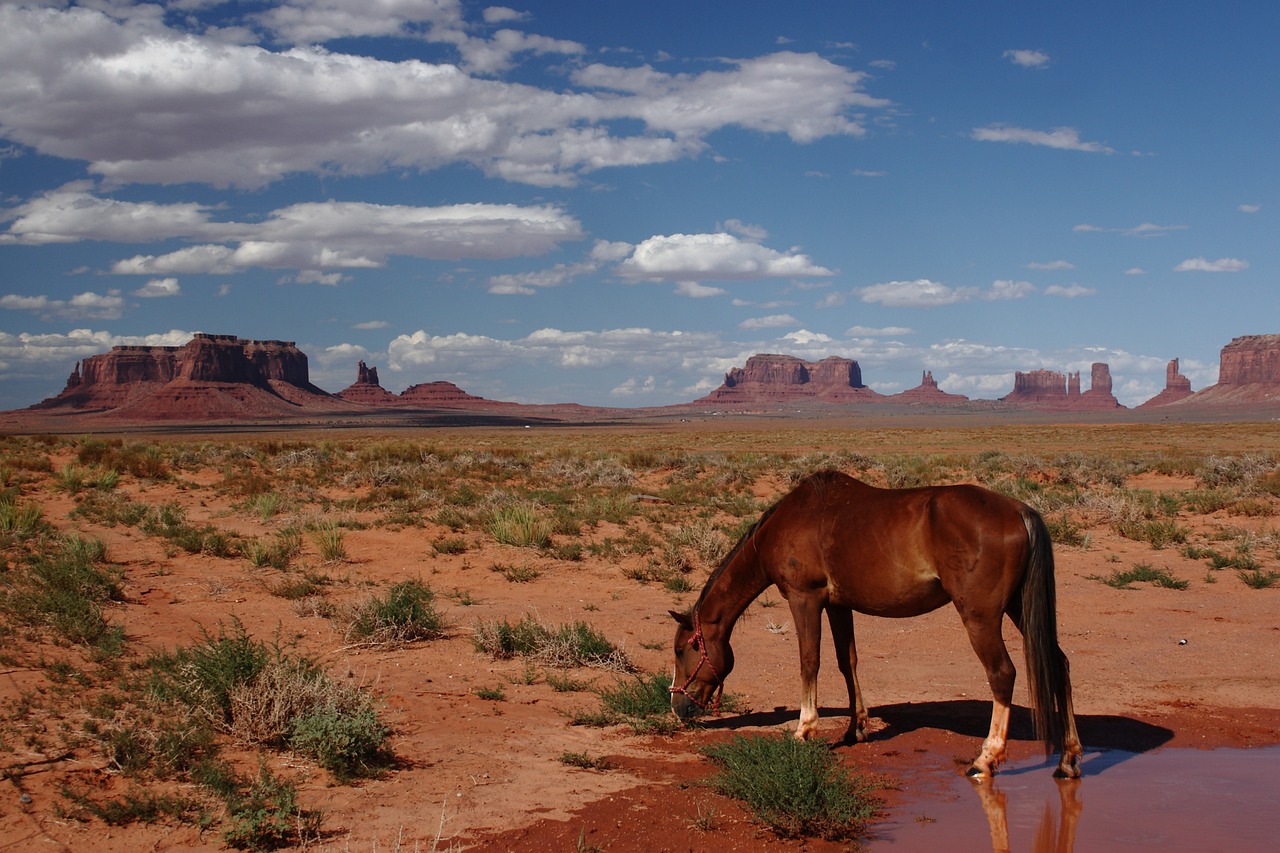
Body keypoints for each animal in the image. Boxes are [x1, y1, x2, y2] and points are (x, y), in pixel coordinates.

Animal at [670, 468, 1080, 773]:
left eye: (681, 650)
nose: (677, 707)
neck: (785, 525)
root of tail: (1020, 511)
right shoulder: (838, 605)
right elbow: (846, 661)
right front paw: (857, 728)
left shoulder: (805, 599)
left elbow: (809, 661)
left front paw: (804, 729)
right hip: (1017, 607)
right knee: (1058, 663)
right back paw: (1069, 758)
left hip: (981, 616)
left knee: (1002, 673)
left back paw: (986, 758)